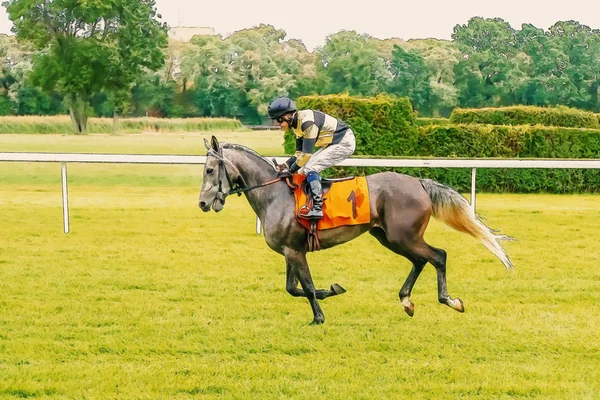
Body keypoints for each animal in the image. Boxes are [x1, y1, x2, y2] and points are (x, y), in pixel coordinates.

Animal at [198, 135, 516, 324]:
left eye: (210, 170)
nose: (202, 203)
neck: (275, 194)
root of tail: (419, 182)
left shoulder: (295, 252)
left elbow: (307, 287)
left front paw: (319, 317)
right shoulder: (291, 250)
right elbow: (293, 288)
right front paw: (331, 291)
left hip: (404, 236)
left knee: (438, 256)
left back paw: (450, 300)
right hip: (389, 237)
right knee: (420, 260)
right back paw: (407, 301)